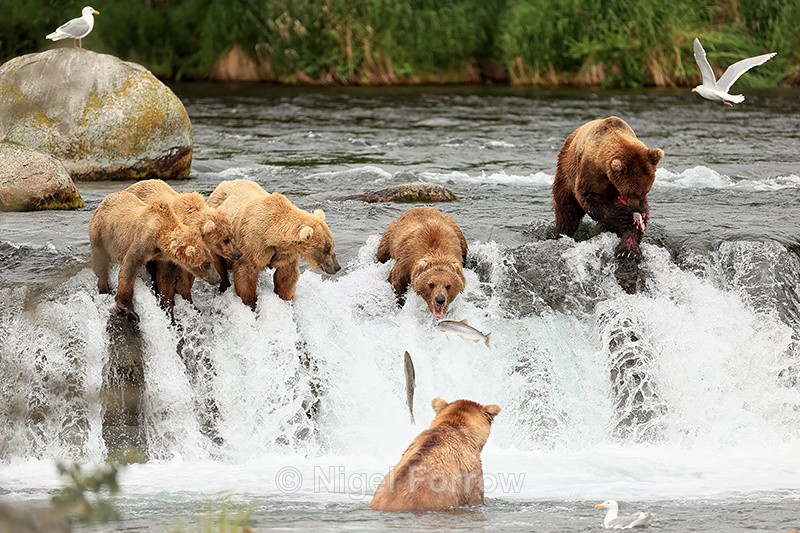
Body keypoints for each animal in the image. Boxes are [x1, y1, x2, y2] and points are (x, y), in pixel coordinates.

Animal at [89, 191, 221, 323]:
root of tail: (105, 199)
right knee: (100, 261)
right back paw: (104, 287)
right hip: (100, 233)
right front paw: (131, 311)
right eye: (206, 264)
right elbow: (129, 268)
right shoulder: (142, 241)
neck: (159, 239)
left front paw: (168, 306)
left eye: (211, 260)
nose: (217, 279)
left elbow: (165, 278)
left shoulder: (162, 257)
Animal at [125, 179, 242, 311]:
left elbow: (186, 278)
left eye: (232, 235)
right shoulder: (168, 251)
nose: (239, 254)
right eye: (225, 240)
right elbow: (166, 277)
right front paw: (168, 301)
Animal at [207, 179, 341, 309]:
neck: (271, 235)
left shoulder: (286, 252)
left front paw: (285, 298)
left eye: (332, 246)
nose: (337, 267)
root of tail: (222, 184)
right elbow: (245, 276)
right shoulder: (252, 245)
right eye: (325, 249)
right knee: (218, 263)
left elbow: (286, 277)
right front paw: (250, 303)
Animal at [552, 116, 664, 260]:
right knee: (566, 210)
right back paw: (562, 233)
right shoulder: (591, 174)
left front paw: (627, 250)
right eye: (633, 193)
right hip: (565, 172)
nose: (641, 209)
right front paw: (623, 216)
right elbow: (590, 198)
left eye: (647, 190)